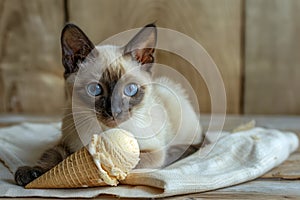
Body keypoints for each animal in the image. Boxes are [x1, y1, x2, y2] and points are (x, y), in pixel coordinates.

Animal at [13, 23, 202, 186]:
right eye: (95, 89)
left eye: (130, 89)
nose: (114, 111)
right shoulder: (64, 143)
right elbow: (51, 155)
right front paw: (32, 172)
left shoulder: (153, 152)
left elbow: (126, 162)